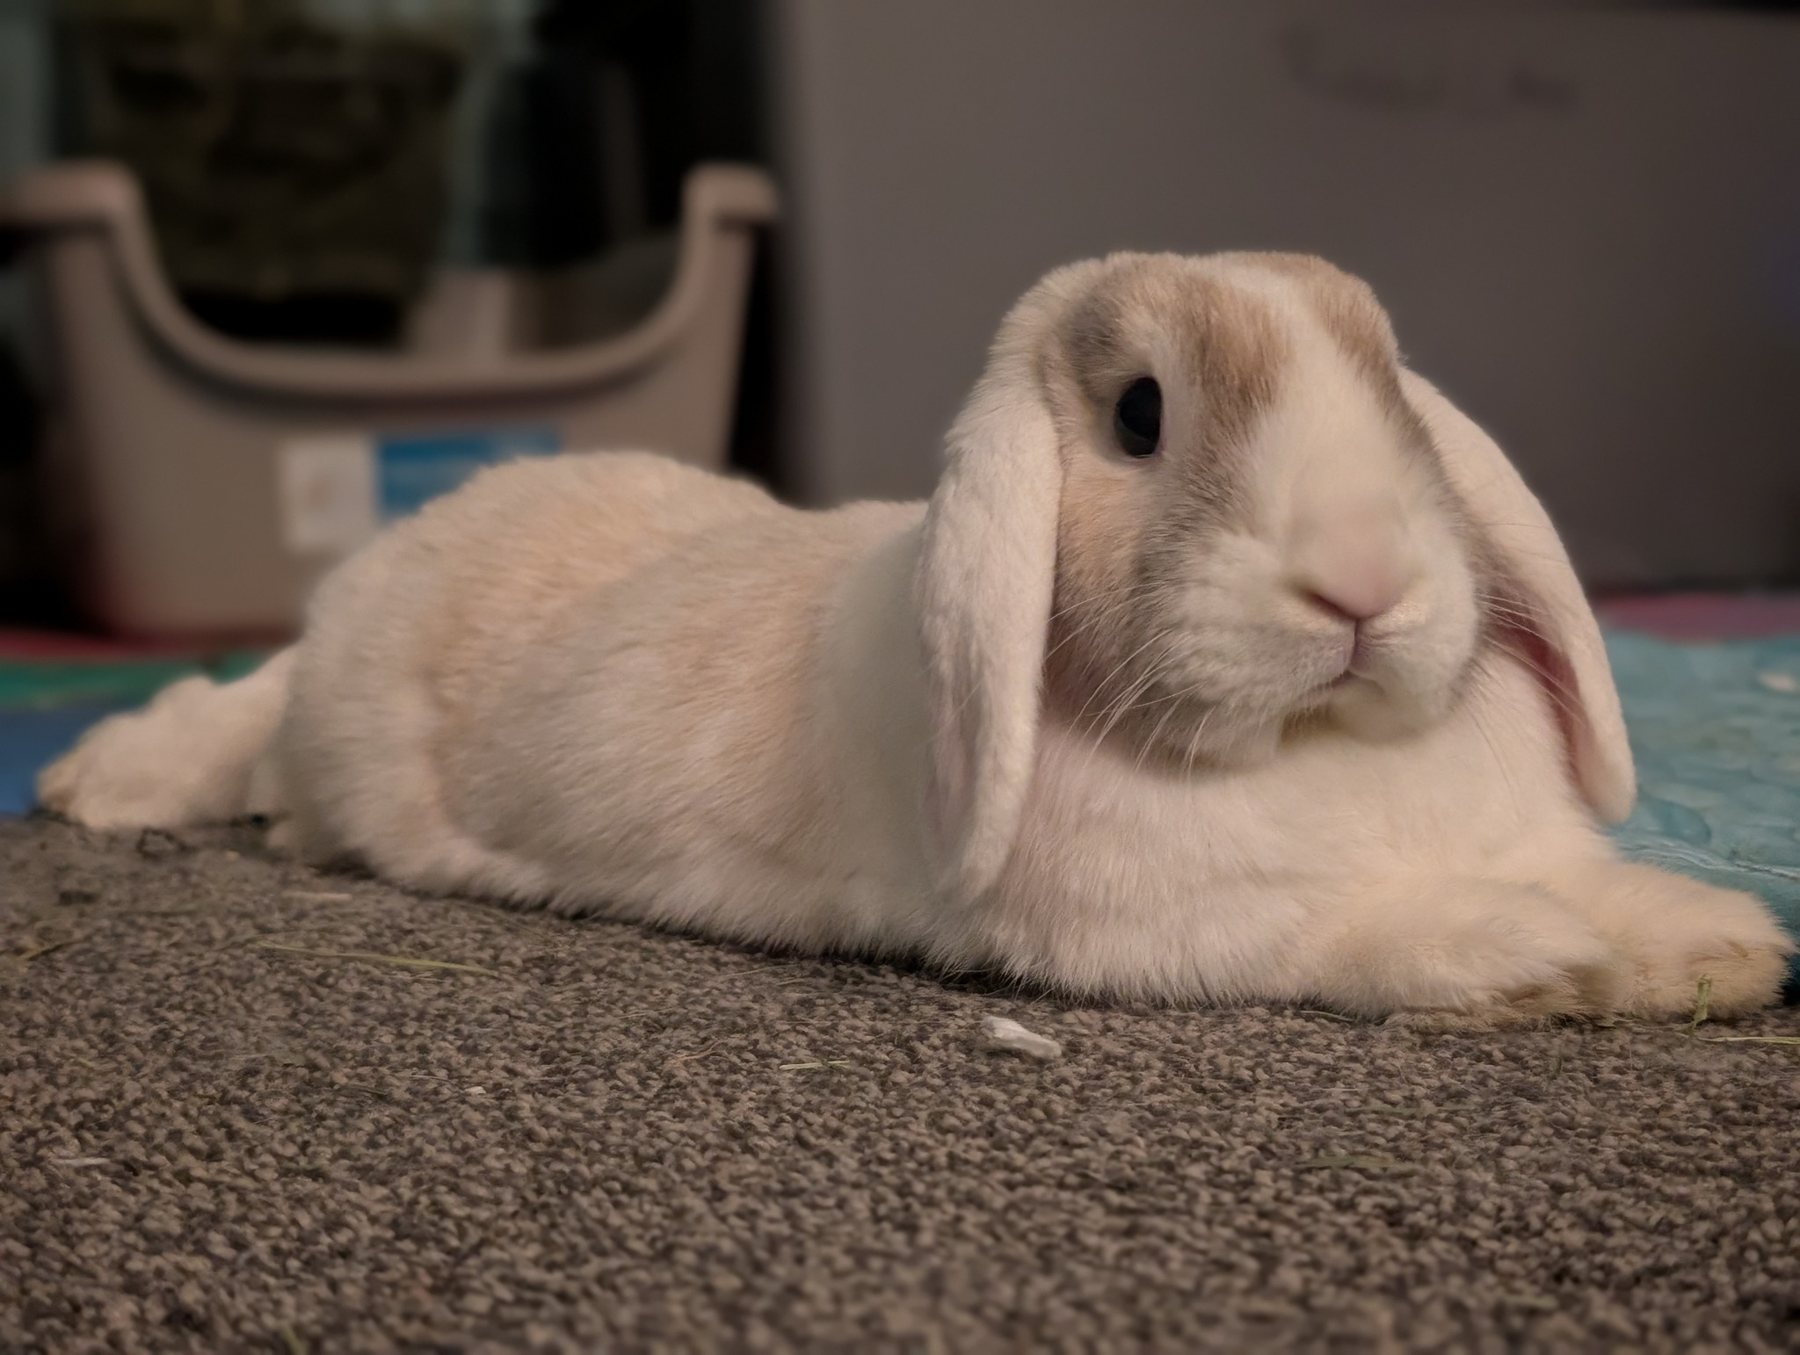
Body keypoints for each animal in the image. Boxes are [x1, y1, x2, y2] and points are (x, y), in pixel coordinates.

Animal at [39, 251, 1793, 1021]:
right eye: (1140, 413)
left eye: (1394, 389)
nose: (1364, 581)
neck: (1319, 750)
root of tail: (383, 565)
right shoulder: (1195, 928)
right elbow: (1374, 930)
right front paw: (1535, 957)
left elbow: (1599, 883)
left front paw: (1718, 945)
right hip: (327, 738)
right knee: (243, 723)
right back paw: (98, 778)